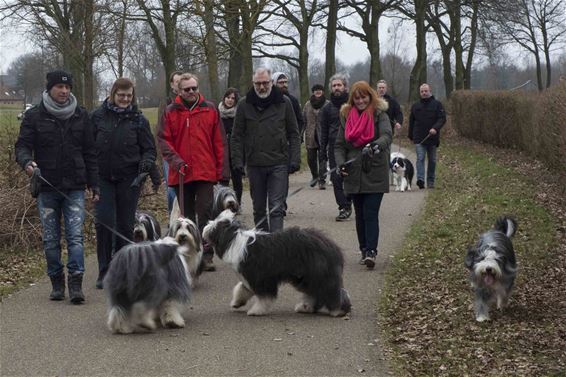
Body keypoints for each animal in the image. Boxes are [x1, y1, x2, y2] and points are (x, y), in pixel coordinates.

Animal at [204, 210, 352, 316]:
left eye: (215, 224)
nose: (205, 228)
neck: (233, 239)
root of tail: (330, 245)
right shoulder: (249, 277)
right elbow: (242, 288)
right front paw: (237, 302)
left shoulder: (261, 277)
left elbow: (264, 297)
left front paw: (256, 310)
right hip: (305, 278)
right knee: (314, 293)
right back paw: (306, 307)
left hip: (318, 275)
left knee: (330, 291)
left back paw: (338, 310)